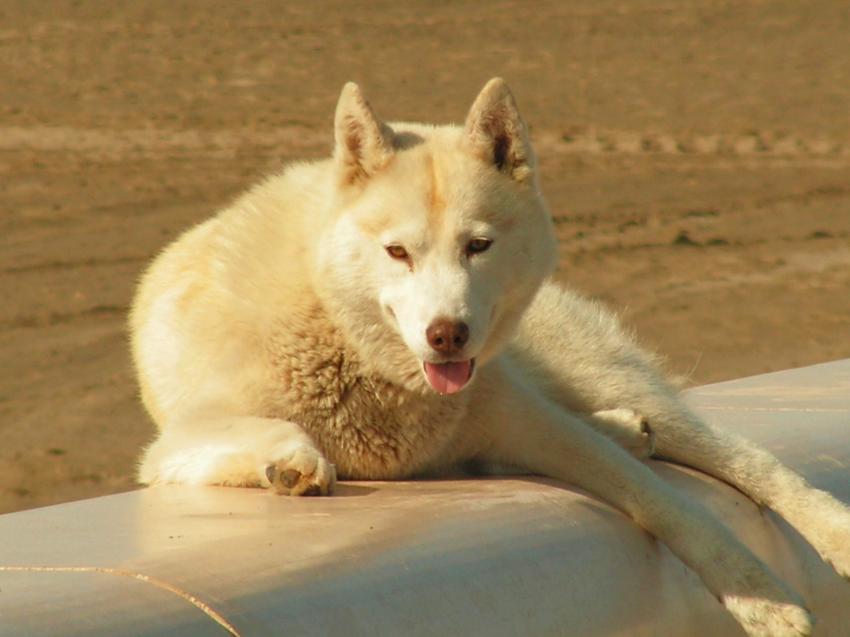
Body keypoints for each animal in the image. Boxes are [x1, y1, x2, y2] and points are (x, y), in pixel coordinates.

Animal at [129, 79, 844, 636]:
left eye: (478, 246)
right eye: (397, 252)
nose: (448, 335)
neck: (344, 338)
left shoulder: (525, 419)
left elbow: (665, 501)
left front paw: (760, 596)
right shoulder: (168, 450)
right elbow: (264, 428)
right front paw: (293, 463)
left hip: (598, 381)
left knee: (744, 458)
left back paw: (826, 525)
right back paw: (622, 430)